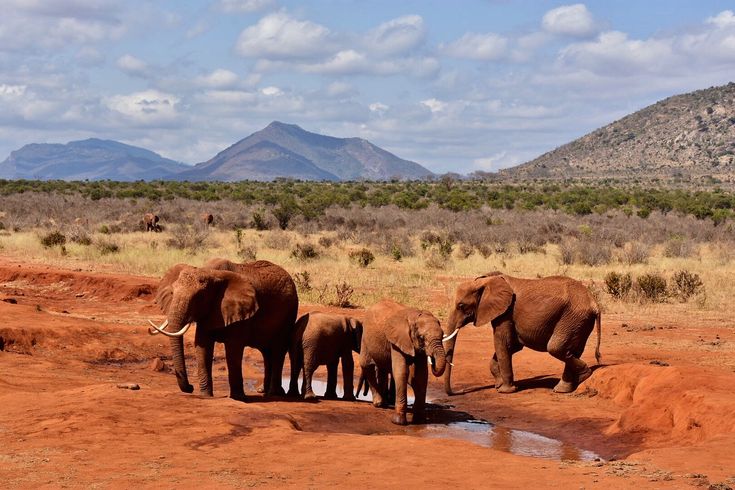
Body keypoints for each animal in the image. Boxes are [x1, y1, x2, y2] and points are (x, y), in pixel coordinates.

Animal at [147, 259, 299, 400]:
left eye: (199, 297)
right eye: (172, 293)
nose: (190, 387)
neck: (211, 273)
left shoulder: (239, 309)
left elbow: (233, 349)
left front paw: (238, 398)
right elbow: (202, 346)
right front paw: (206, 396)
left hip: (289, 313)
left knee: (278, 350)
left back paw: (274, 394)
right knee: (266, 352)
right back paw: (264, 391)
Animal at [442, 272, 601, 396]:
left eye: (461, 306)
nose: (460, 392)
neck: (486, 280)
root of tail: (594, 303)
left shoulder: (506, 312)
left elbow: (503, 343)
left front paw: (505, 391)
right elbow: (512, 346)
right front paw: (498, 385)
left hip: (572, 318)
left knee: (556, 348)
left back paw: (583, 375)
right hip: (578, 321)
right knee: (572, 350)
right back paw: (564, 388)